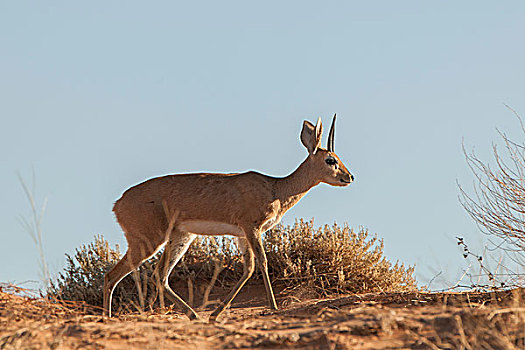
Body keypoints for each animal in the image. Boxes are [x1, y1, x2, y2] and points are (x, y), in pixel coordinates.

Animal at [103, 114, 352, 320]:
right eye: (331, 160)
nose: (349, 177)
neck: (276, 189)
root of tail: (118, 203)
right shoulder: (252, 228)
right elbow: (262, 262)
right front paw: (273, 307)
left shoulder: (242, 235)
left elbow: (248, 268)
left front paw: (215, 314)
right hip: (148, 242)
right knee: (112, 276)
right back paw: (108, 318)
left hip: (180, 238)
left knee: (159, 276)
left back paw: (194, 315)